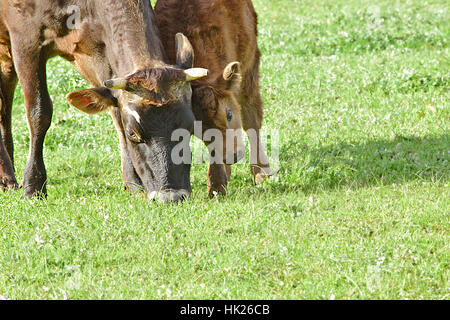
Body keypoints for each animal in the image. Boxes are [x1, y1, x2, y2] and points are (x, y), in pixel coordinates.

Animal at [0, 0, 207, 202]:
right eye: (133, 134)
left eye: (190, 127)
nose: (171, 196)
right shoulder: (25, 37)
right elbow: (39, 112)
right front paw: (33, 187)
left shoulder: (99, 51)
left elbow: (115, 112)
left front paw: (133, 183)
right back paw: (7, 177)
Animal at [156, 0, 272, 196]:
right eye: (196, 129)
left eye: (229, 114)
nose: (233, 156)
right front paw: (217, 186)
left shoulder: (248, 67)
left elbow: (252, 120)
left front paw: (261, 173)